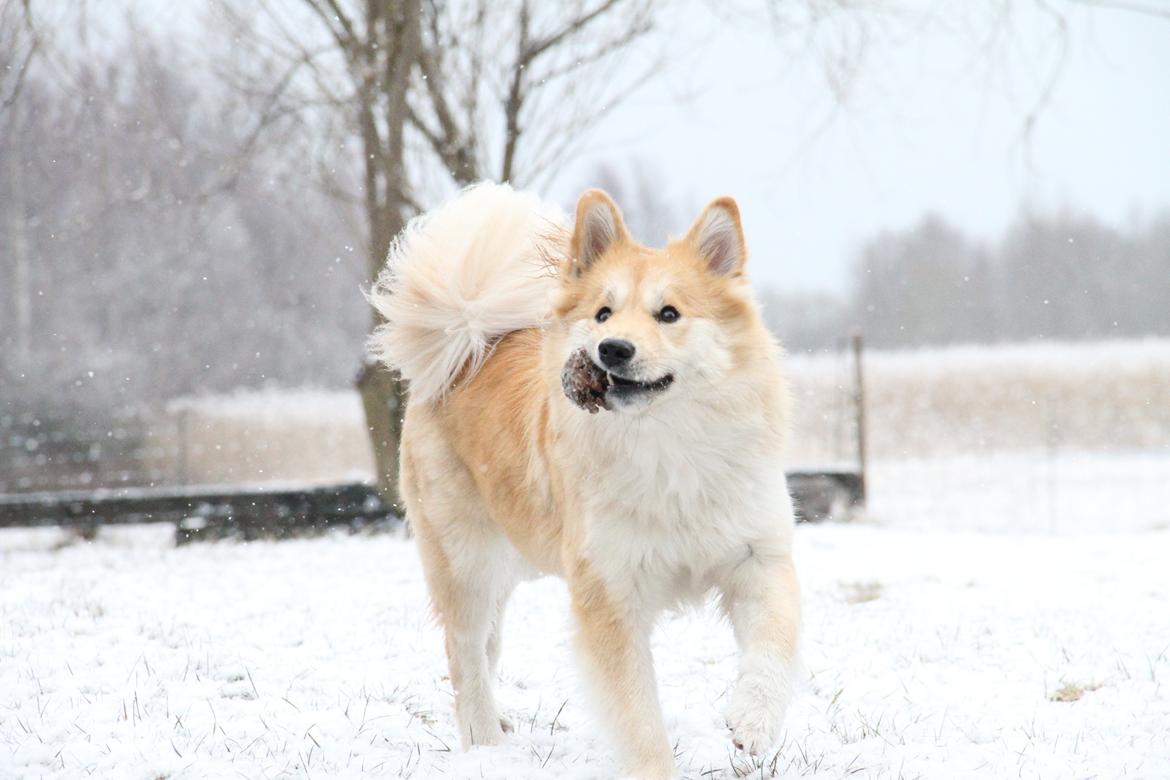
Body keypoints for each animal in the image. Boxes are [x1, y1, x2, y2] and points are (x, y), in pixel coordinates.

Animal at [369, 184, 800, 780]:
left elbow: (773, 647)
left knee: (489, 643)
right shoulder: (610, 593)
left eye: (669, 313)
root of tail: (469, 341)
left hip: (513, 558)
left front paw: (754, 721)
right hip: (465, 560)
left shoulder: (758, 556)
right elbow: (638, 715)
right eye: (603, 313)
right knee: (464, 650)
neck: (667, 445)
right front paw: (655, 769)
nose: (613, 348)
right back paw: (484, 742)